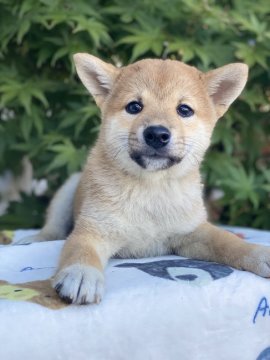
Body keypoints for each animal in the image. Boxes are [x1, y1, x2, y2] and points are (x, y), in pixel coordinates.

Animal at [19, 53, 270, 304]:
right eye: (134, 107)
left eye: (184, 110)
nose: (156, 134)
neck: (151, 189)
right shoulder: (93, 230)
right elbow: (80, 249)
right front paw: (81, 273)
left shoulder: (193, 231)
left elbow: (228, 241)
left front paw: (257, 252)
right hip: (67, 190)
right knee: (53, 229)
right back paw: (34, 238)